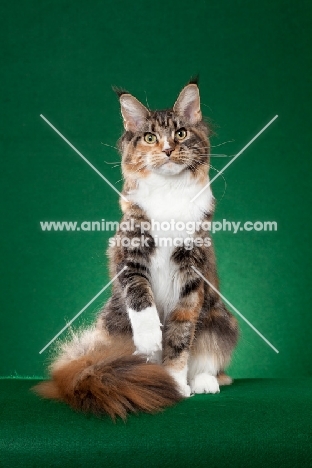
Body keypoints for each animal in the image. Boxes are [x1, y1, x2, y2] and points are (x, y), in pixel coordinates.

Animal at [34, 80, 238, 420]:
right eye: (150, 137)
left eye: (180, 133)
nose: (167, 149)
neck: (168, 193)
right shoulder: (130, 254)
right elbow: (141, 300)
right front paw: (151, 340)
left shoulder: (192, 270)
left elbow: (180, 335)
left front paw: (174, 382)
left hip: (221, 320)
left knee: (209, 361)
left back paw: (203, 382)